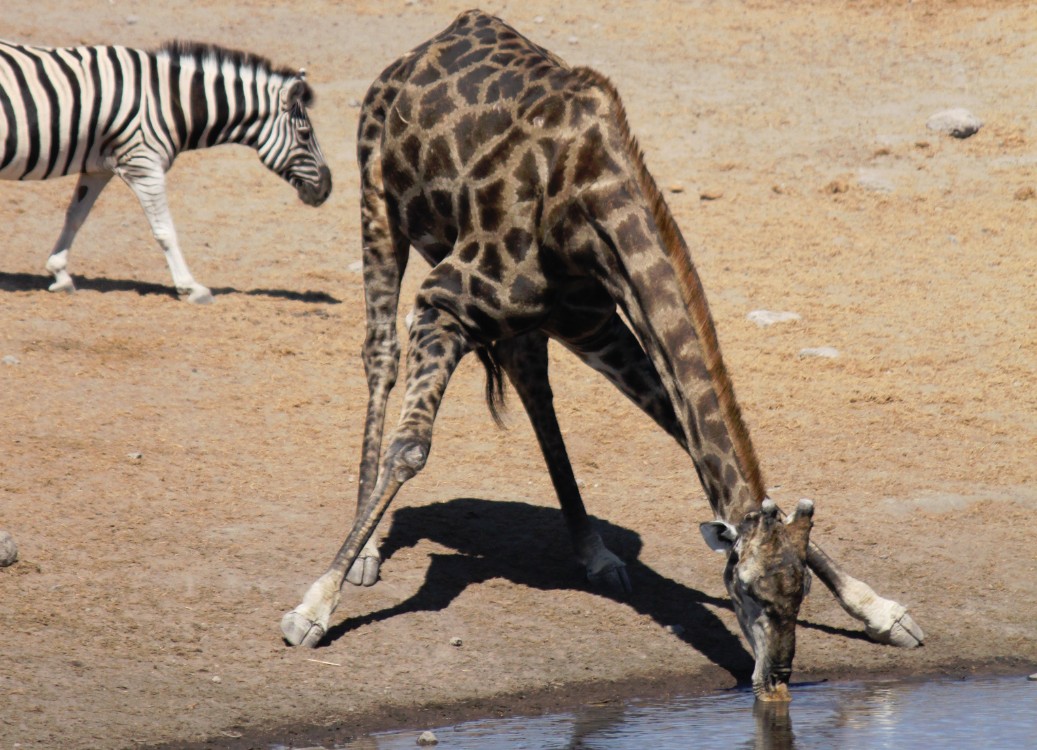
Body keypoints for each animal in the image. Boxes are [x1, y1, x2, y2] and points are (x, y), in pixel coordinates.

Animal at [0, 39, 329, 302]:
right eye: (304, 134)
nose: (327, 189)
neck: (170, 102)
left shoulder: (98, 167)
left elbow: (75, 217)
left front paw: (60, 273)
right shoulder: (144, 165)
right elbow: (165, 230)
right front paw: (190, 287)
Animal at [279, 8, 920, 701]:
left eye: (799, 594)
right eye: (747, 591)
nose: (775, 679)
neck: (582, 200)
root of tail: (424, 46)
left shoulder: (597, 324)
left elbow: (681, 428)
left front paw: (882, 610)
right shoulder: (444, 303)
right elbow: (411, 448)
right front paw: (312, 609)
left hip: (537, 320)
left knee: (531, 383)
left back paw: (594, 551)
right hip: (377, 202)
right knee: (379, 355)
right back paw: (366, 550)